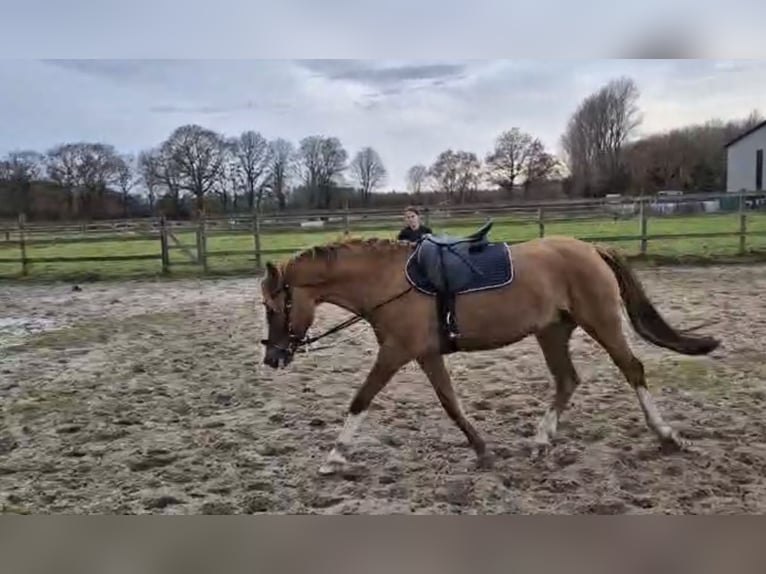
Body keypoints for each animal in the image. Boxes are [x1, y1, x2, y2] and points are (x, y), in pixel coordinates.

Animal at [260, 230, 720, 476]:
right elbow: (452, 405)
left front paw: (334, 457)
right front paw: (483, 451)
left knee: (632, 368)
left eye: (272, 306)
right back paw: (541, 441)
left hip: (602, 322)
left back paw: (667, 435)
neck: (388, 282)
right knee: (567, 380)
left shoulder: (396, 351)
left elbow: (361, 400)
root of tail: (591, 248)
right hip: (552, 331)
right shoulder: (425, 354)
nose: (273, 358)